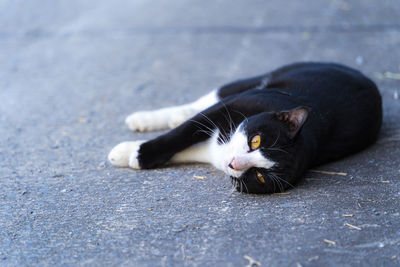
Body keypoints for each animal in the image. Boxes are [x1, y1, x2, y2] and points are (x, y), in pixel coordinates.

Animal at [108, 62, 382, 195]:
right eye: (256, 141)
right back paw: (148, 117)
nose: (234, 164)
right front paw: (136, 153)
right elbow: (181, 135)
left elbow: (185, 148)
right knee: (207, 100)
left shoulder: (214, 152)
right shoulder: (233, 105)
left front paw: (127, 154)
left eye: (260, 176)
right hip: (256, 82)